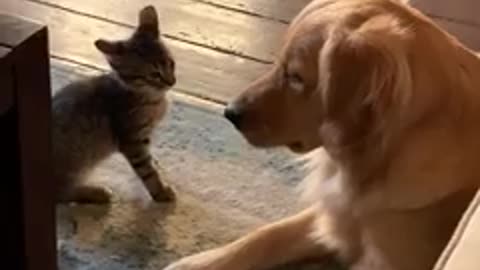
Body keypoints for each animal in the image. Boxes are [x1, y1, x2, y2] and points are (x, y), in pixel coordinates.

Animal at [53, 5, 176, 204]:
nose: (172, 82)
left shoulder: (143, 137)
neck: (153, 99)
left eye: (171, 64)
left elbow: (150, 161)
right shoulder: (132, 141)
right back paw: (96, 192)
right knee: (61, 195)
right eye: (154, 74)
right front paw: (161, 191)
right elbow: (148, 172)